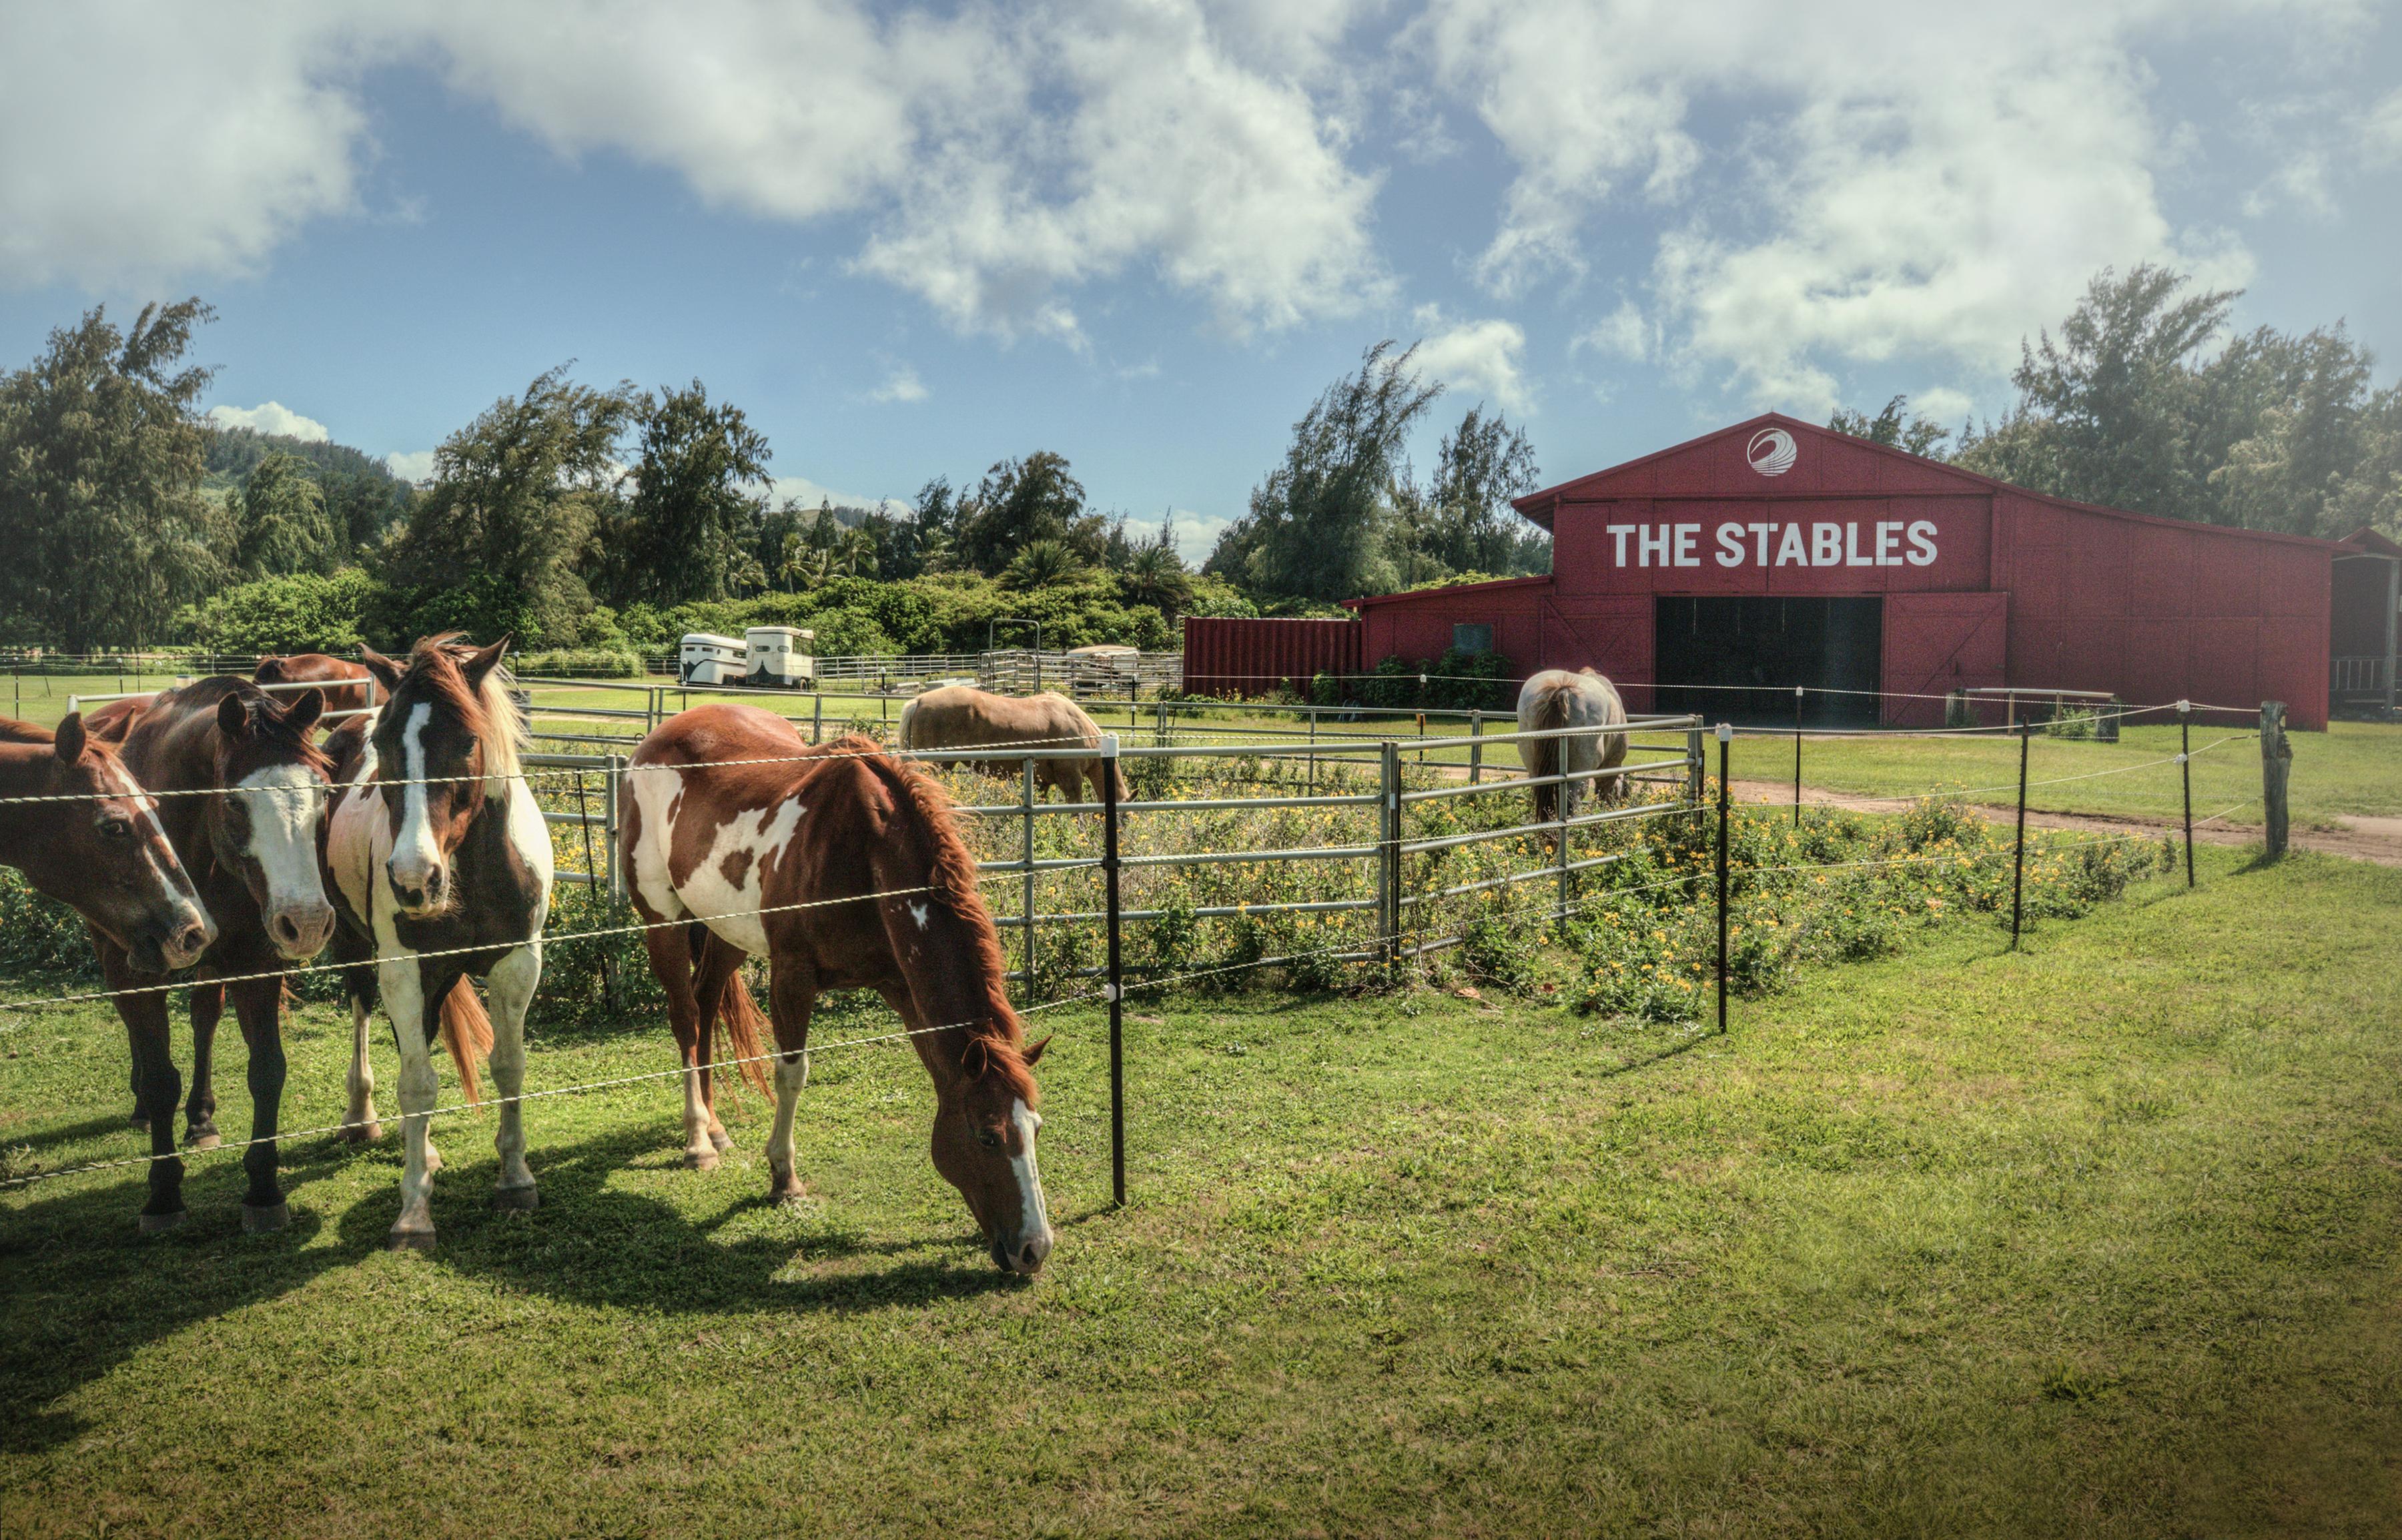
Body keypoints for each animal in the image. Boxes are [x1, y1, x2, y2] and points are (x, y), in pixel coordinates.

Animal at [99, 677, 338, 1230]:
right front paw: (163, 1194)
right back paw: (142, 1107)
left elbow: (267, 1070)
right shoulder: (132, 970)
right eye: (234, 803)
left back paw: (202, 1117)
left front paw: (264, 1188)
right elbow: (160, 1076)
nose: (307, 922)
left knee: (204, 1016)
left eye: (324, 793)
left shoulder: (256, 963)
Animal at [326, 634, 550, 1249]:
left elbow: (509, 1066)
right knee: (368, 1018)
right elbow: (417, 1086)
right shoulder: (404, 968)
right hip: (360, 952)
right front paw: (413, 1213)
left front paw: (515, 1180)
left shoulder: (518, 963)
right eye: (383, 743)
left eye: (468, 740)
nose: (412, 879)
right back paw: (364, 1119)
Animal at [625, 706, 1057, 1268]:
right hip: (664, 920)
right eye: (987, 1136)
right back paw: (698, 1138)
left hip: (726, 928)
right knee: (686, 1018)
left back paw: (717, 1128)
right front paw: (784, 1177)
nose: (1034, 1249)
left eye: (1036, 1129)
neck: (865, 850)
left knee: (706, 1000)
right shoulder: (792, 975)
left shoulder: (901, 985)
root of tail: (657, 738)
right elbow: (791, 1075)